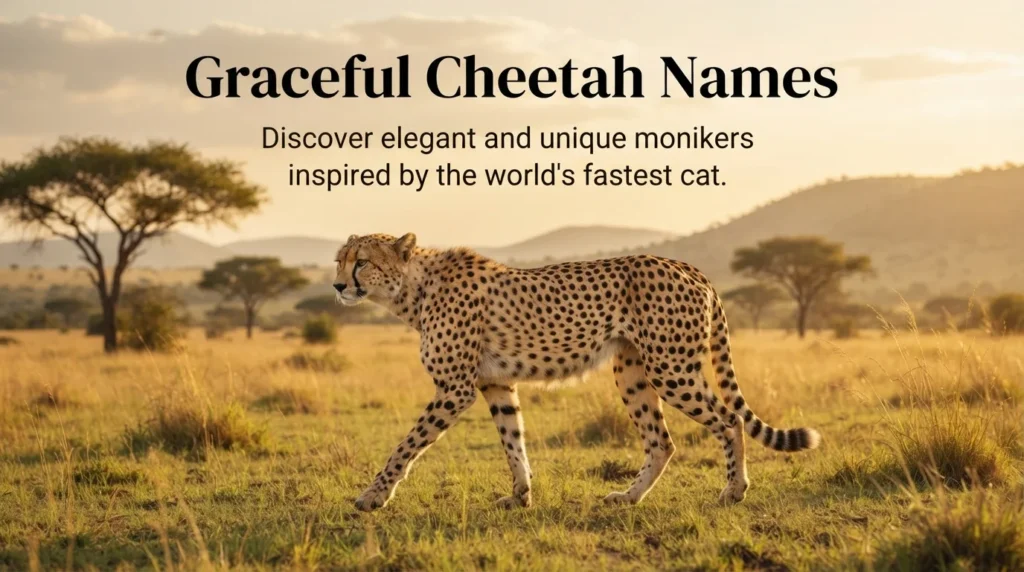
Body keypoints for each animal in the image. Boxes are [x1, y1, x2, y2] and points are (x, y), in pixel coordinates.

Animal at [334, 232, 821, 512]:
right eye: (340, 259)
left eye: (362, 261)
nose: (338, 285)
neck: (414, 288)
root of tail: (687, 266)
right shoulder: (495, 383)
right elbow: (513, 441)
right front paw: (521, 495)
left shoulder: (455, 388)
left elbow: (406, 445)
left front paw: (373, 496)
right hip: (634, 370)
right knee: (662, 441)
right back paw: (628, 497)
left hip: (671, 367)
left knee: (730, 419)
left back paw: (734, 491)